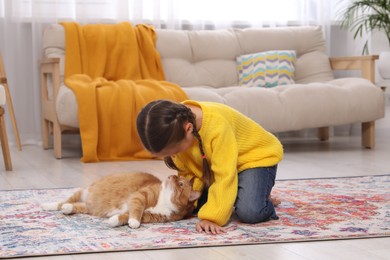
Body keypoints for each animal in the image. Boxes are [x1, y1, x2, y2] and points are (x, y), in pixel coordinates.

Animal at [42, 173, 201, 228]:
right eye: (177, 177)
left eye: (180, 184)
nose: (172, 175)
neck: (165, 201)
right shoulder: (140, 196)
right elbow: (136, 210)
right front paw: (134, 222)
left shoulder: (150, 216)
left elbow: (126, 215)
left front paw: (115, 220)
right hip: (82, 192)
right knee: (63, 201)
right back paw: (47, 205)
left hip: (87, 207)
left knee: (75, 206)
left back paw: (68, 209)